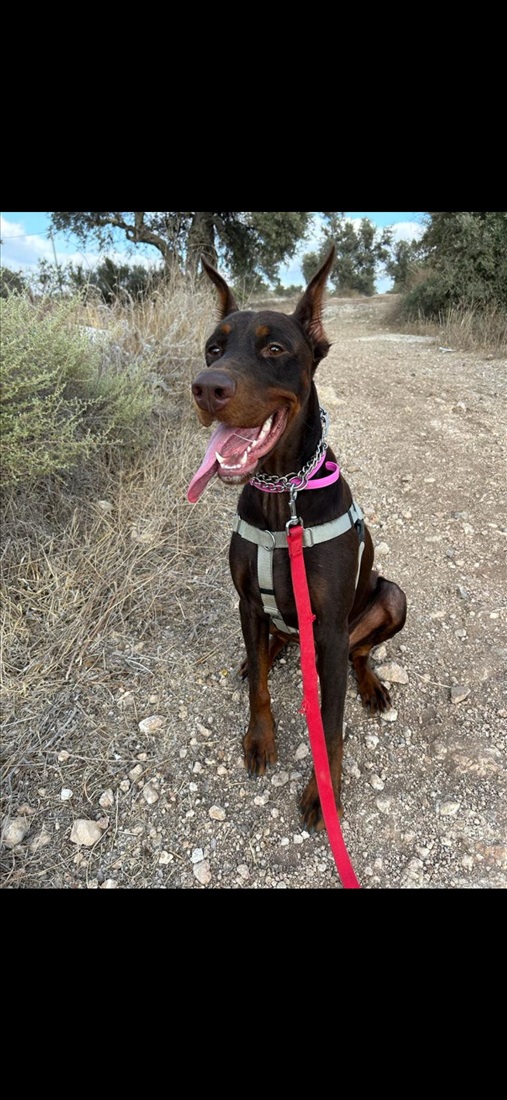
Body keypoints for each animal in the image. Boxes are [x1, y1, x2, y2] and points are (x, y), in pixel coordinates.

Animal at [188, 243, 404, 827]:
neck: (280, 497)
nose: (207, 387)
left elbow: (329, 722)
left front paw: (321, 793)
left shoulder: (326, 627)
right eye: (214, 347)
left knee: (360, 653)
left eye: (275, 348)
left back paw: (370, 685)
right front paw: (260, 739)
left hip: (389, 600)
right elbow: (261, 691)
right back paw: (262, 654)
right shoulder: (245, 600)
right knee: (270, 647)